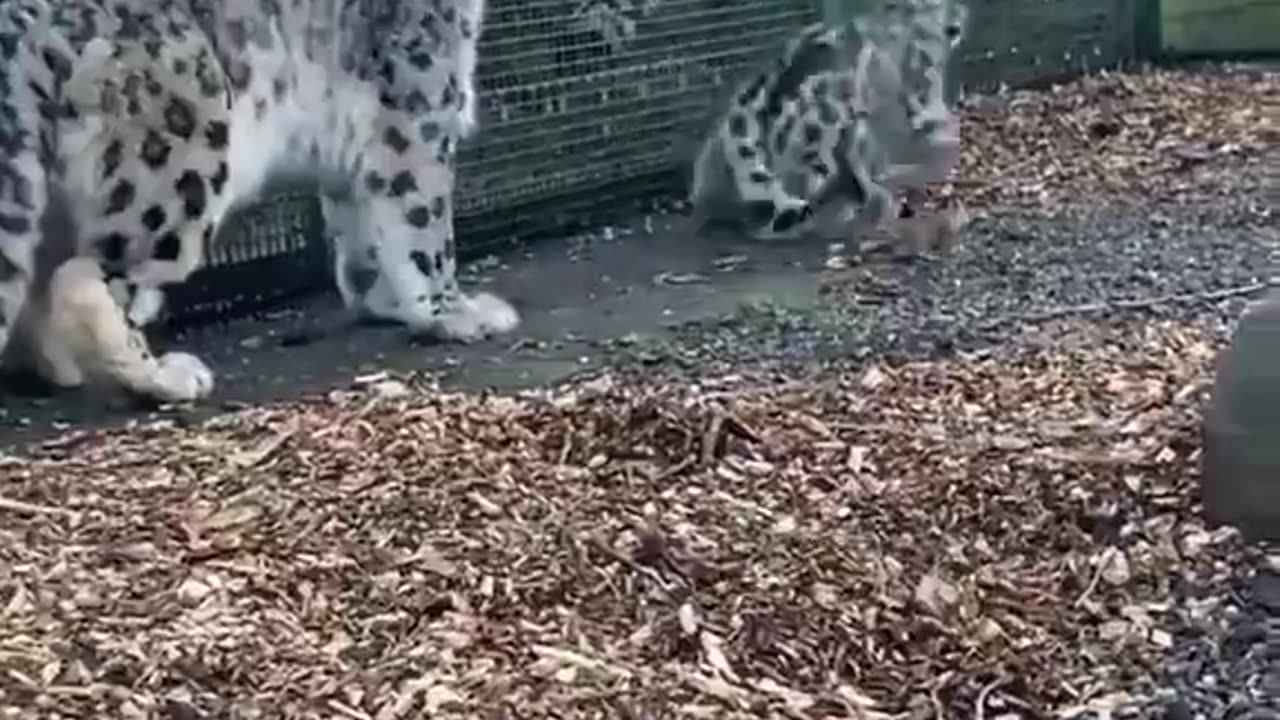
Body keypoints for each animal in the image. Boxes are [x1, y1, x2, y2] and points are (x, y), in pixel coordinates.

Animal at [0, 0, 520, 405]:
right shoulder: (422, 100)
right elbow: (423, 224)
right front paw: (452, 312)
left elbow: (361, 233)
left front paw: (382, 298)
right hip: (182, 158)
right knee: (88, 275)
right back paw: (163, 376)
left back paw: (56, 368)